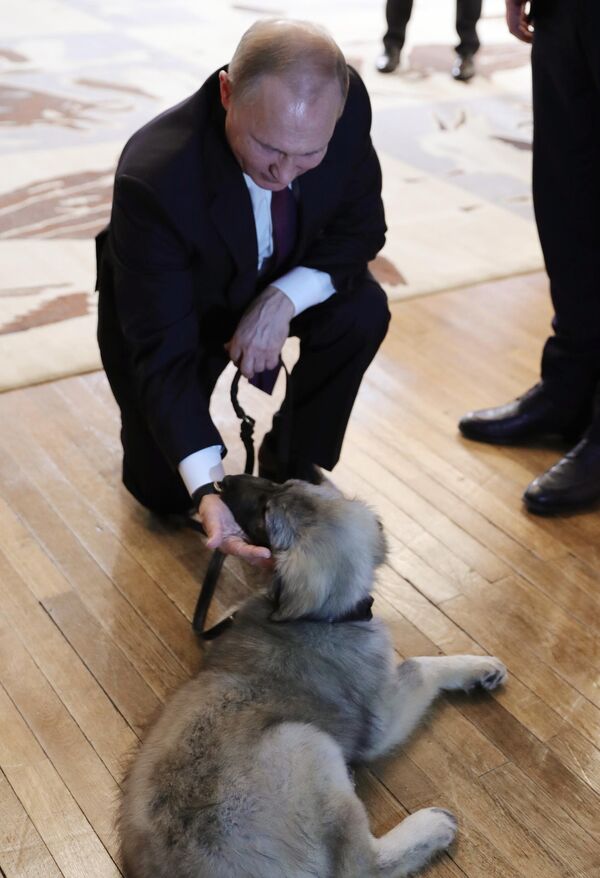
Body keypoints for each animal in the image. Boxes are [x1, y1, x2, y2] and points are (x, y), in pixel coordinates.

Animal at [118, 478, 506, 876]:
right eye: (267, 513)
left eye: (280, 487)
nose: (221, 483)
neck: (325, 618)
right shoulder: (381, 721)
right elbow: (419, 665)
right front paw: (479, 666)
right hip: (304, 742)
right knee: (361, 865)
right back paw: (432, 825)